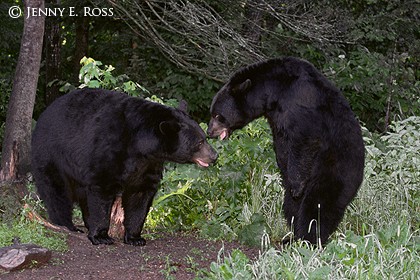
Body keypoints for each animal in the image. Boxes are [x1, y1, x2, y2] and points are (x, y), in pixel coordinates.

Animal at [31, 88, 218, 246]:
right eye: (199, 142)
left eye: (204, 137)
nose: (214, 156)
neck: (140, 145)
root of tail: (44, 114)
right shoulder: (109, 149)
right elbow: (102, 189)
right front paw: (101, 236)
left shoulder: (148, 165)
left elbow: (140, 196)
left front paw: (135, 237)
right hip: (52, 157)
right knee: (57, 193)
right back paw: (66, 225)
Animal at [208, 57, 366, 245]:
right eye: (212, 112)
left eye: (218, 115)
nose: (209, 132)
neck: (274, 90)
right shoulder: (275, 117)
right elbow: (282, 144)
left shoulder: (301, 102)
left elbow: (305, 139)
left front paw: (297, 186)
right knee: (291, 206)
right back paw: (293, 237)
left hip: (336, 168)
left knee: (318, 204)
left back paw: (309, 239)